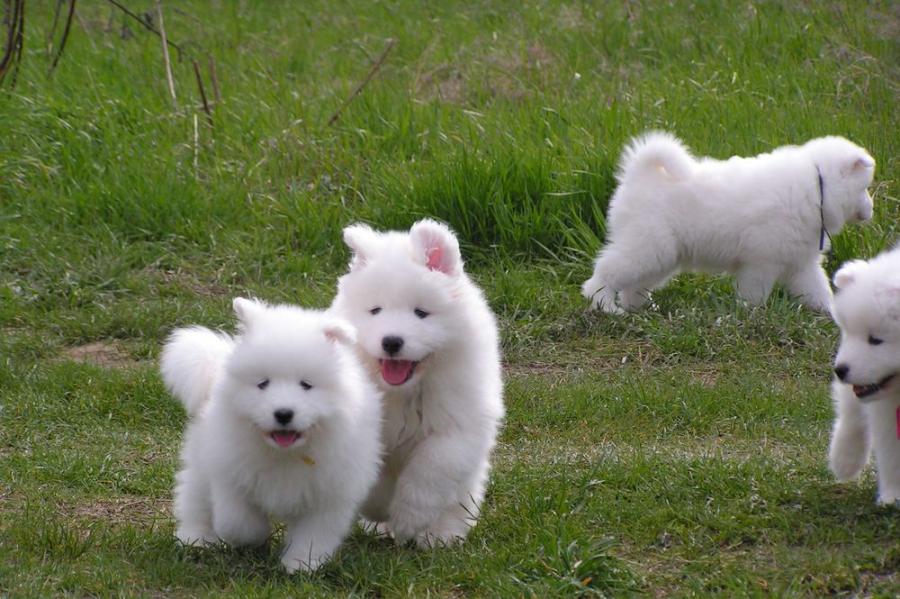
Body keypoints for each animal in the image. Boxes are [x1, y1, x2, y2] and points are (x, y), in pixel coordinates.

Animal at [162, 298, 384, 576]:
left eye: (306, 385)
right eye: (263, 383)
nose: (284, 413)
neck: (286, 453)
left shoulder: (329, 493)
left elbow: (313, 535)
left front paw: (300, 565)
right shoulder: (230, 477)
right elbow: (237, 522)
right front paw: (255, 539)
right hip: (202, 462)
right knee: (194, 499)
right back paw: (196, 539)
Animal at [328, 220, 506, 548]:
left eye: (421, 313)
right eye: (375, 310)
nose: (391, 342)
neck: (403, 392)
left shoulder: (456, 427)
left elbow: (431, 470)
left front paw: (409, 520)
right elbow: (374, 474)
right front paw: (381, 509)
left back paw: (440, 536)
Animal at [580, 132, 876, 314]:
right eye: (864, 188)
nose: (872, 208)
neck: (816, 187)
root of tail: (638, 175)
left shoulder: (800, 263)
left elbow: (818, 290)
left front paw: (833, 313)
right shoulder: (760, 262)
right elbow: (755, 293)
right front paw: (752, 314)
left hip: (661, 255)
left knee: (635, 285)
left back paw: (639, 308)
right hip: (646, 246)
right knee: (607, 271)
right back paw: (605, 305)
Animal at [828, 247, 900, 506]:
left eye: (875, 340)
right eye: (849, 332)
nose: (840, 370)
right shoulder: (888, 410)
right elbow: (891, 452)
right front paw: (893, 496)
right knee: (851, 415)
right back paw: (844, 460)